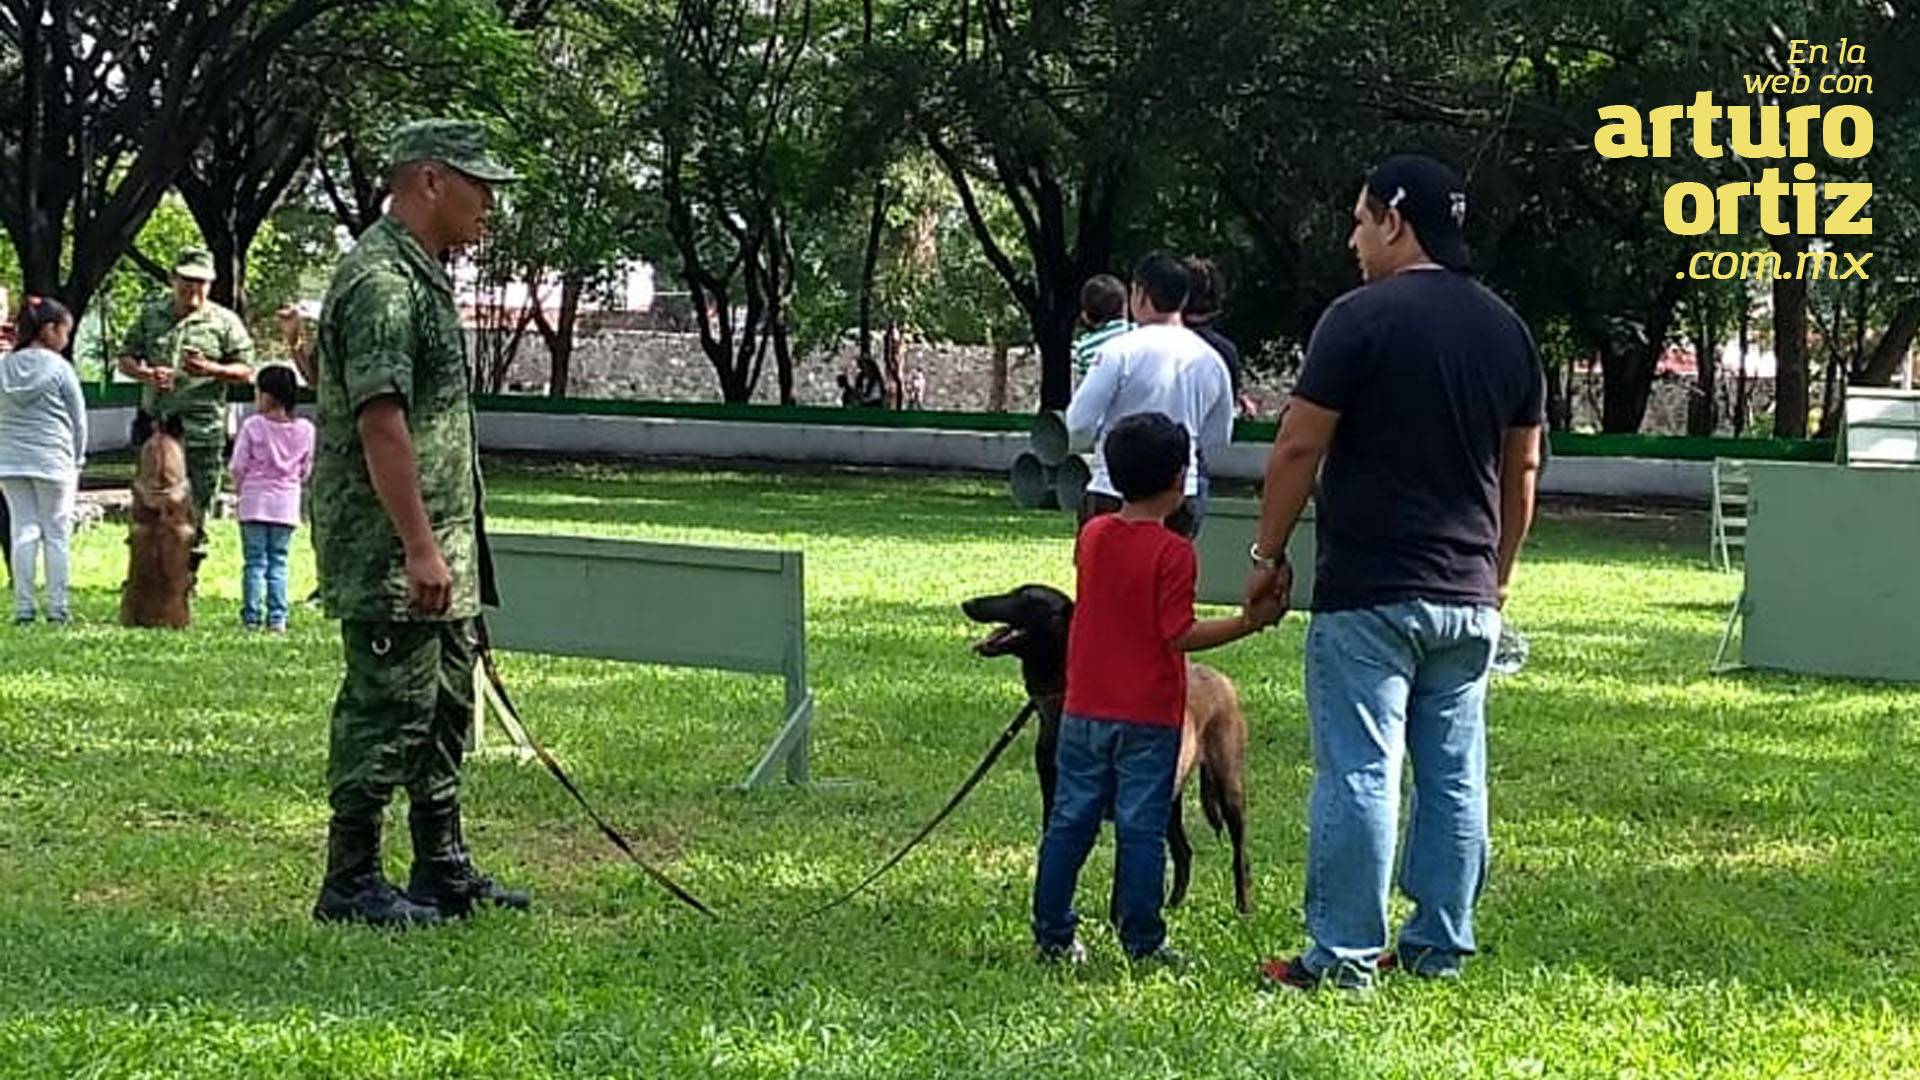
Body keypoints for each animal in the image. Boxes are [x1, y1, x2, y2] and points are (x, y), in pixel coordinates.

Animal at [960, 580, 1259, 907]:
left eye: (1026, 597)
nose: (968, 603)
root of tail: (1221, 679)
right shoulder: (1055, 801)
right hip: (1168, 799)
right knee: (1184, 850)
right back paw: (1173, 905)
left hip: (1228, 785)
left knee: (1239, 851)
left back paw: (1243, 907)